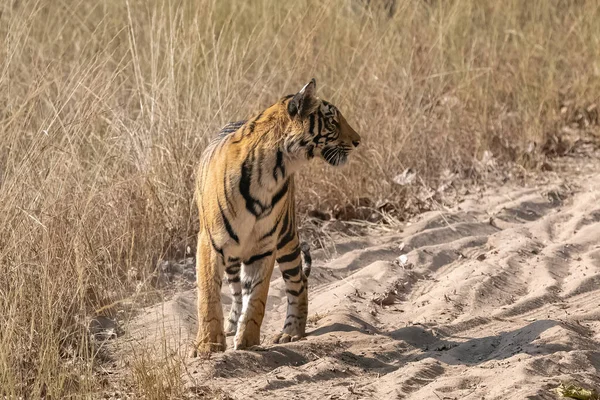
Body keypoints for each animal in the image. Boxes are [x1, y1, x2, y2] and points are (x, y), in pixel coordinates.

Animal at [191, 79, 360, 354]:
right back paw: (232, 325)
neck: (274, 169)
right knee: (236, 290)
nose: (358, 141)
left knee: (299, 283)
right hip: (235, 253)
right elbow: (208, 295)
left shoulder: (264, 245)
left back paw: (291, 332)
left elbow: (257, 297)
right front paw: (209, 345)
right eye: (333, 121)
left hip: (287, 237)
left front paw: (247, 341)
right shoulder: (210, 242)